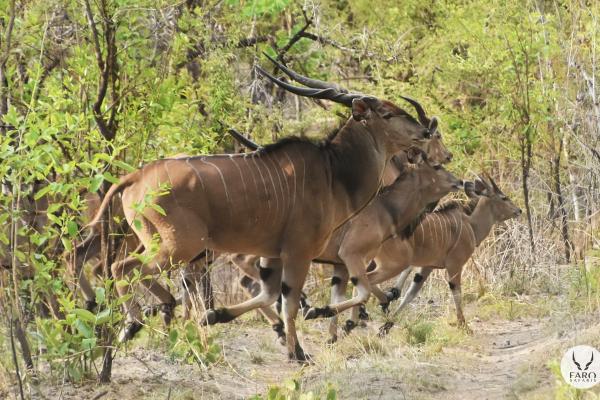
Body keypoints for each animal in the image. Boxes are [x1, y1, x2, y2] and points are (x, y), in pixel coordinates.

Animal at [86, 59, 438, 362]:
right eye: (387, 113)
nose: (425, 131)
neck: (333, 172)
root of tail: (136, 177)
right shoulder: (298, 252)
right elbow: (291, 303)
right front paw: (298, 354)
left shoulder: (272, 255)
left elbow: (270, 296)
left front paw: (216, 315)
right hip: (178, 245)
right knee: (123, 267)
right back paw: (132, 324)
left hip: (155, 241)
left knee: (124, 269)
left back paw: (155, 314)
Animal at [360, 177, 520, 336]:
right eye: (504, 197)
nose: (519, 210)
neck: (470, 224)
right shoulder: (454, 265)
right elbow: (457, 292)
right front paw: (464, 326)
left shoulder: (427, 267)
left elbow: (411, 294)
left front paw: (386, 326)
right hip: (394, 264)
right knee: (367, 280)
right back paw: (379, 303)